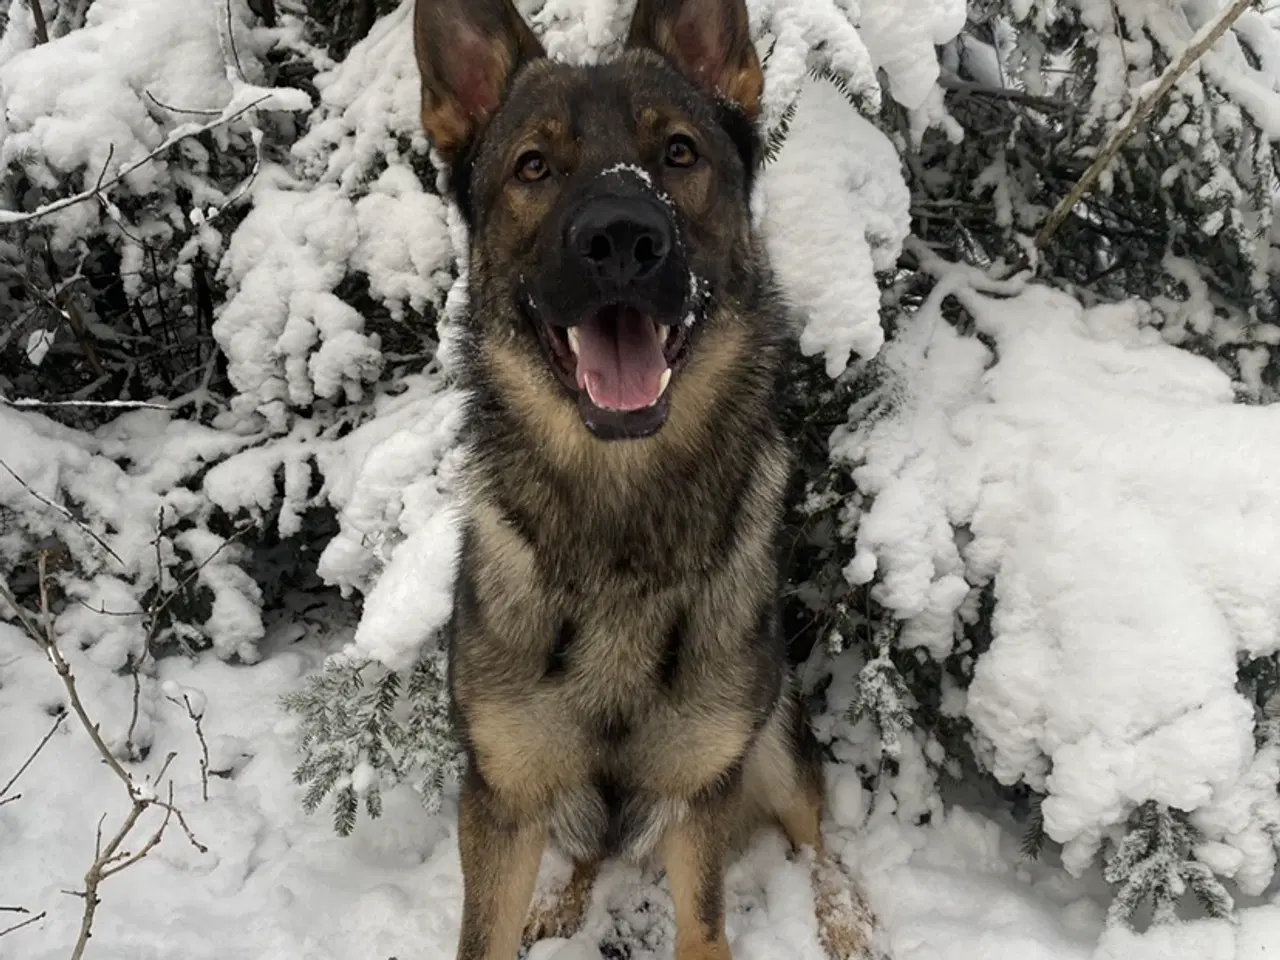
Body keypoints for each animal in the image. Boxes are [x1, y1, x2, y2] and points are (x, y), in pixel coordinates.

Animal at [414, 0, 885, 957]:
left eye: (678, 151)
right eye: (533, 166)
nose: (622, 241)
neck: (619, 534)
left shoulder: (700, 797)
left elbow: (706, 929)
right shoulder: (502, 798)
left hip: (773, 739)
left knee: (817, 839)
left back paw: (844, 918)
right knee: (591, 849)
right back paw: (563, 903)